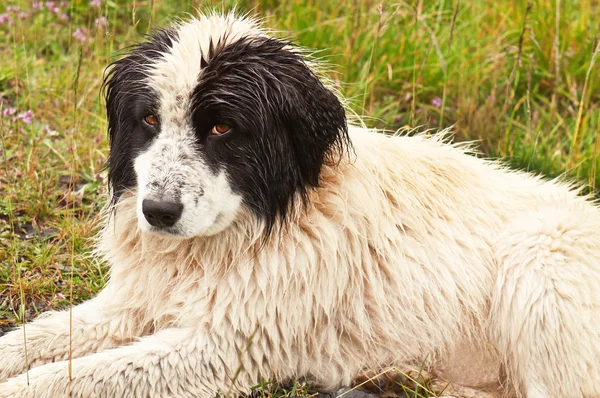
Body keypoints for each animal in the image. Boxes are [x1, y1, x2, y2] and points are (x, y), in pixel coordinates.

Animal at [1, 10, 600, 396]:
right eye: (148, 119)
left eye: (222, 127)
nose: (158, 214)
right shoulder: (135, 304)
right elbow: (31, 339)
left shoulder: (224, 346)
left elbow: (68, 377)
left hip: (539, 254)